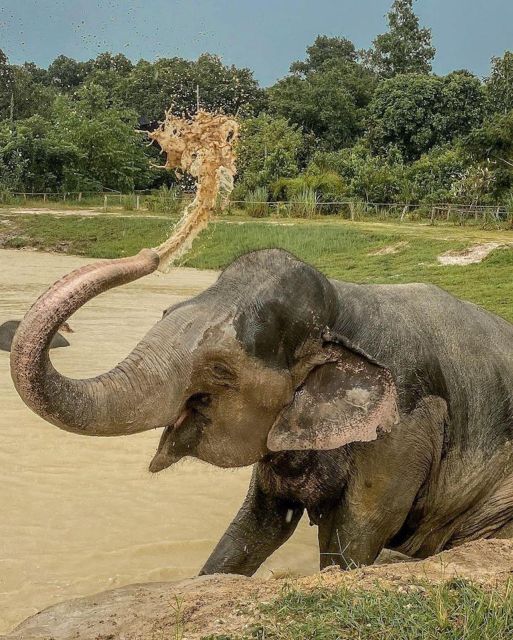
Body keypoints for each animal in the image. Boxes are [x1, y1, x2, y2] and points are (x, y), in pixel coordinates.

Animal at [8, 246, 512, 576]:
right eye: (167, 311)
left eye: (220, 369)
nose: (152, 252)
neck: (346, 306)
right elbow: (258, 523)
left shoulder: (405, 427)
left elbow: (361, 528)